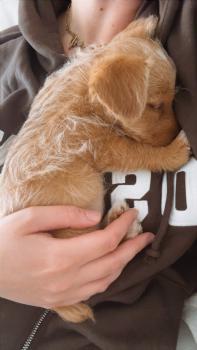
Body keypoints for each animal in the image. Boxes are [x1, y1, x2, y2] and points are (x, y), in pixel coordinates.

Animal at [0, 16, 191, 322]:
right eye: (155, 105)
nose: (174, 132)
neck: (84, 91)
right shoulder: (104, 145)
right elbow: (144, 153)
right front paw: (175, 150)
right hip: (71, 235)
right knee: (103, 241)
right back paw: (122, 223)